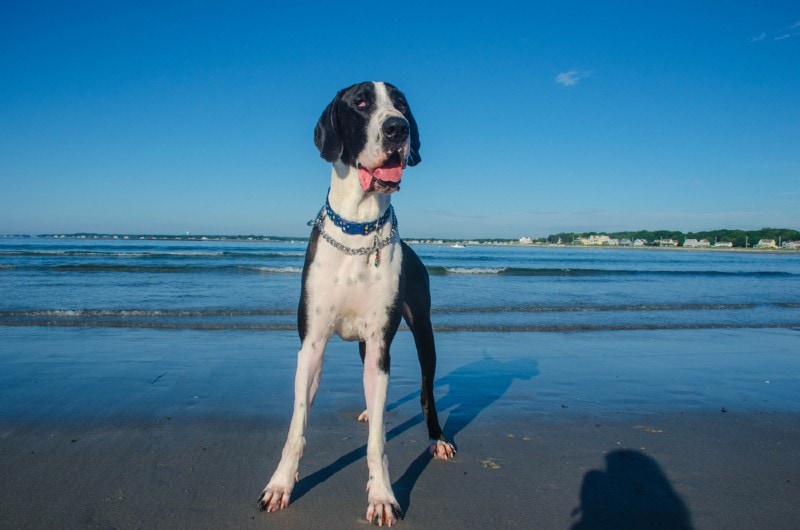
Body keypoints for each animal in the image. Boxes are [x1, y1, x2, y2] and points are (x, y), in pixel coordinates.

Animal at [258, 82, 454, 524]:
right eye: (361, 103)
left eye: (401, 105)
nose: (398, 129)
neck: (359, 228)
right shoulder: (312, 344)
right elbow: (297, 426)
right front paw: (280, 484)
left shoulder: (381, 343)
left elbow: (378, 442)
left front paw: (381, 495)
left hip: (423, 331)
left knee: (427, 390)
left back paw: (436, 438)